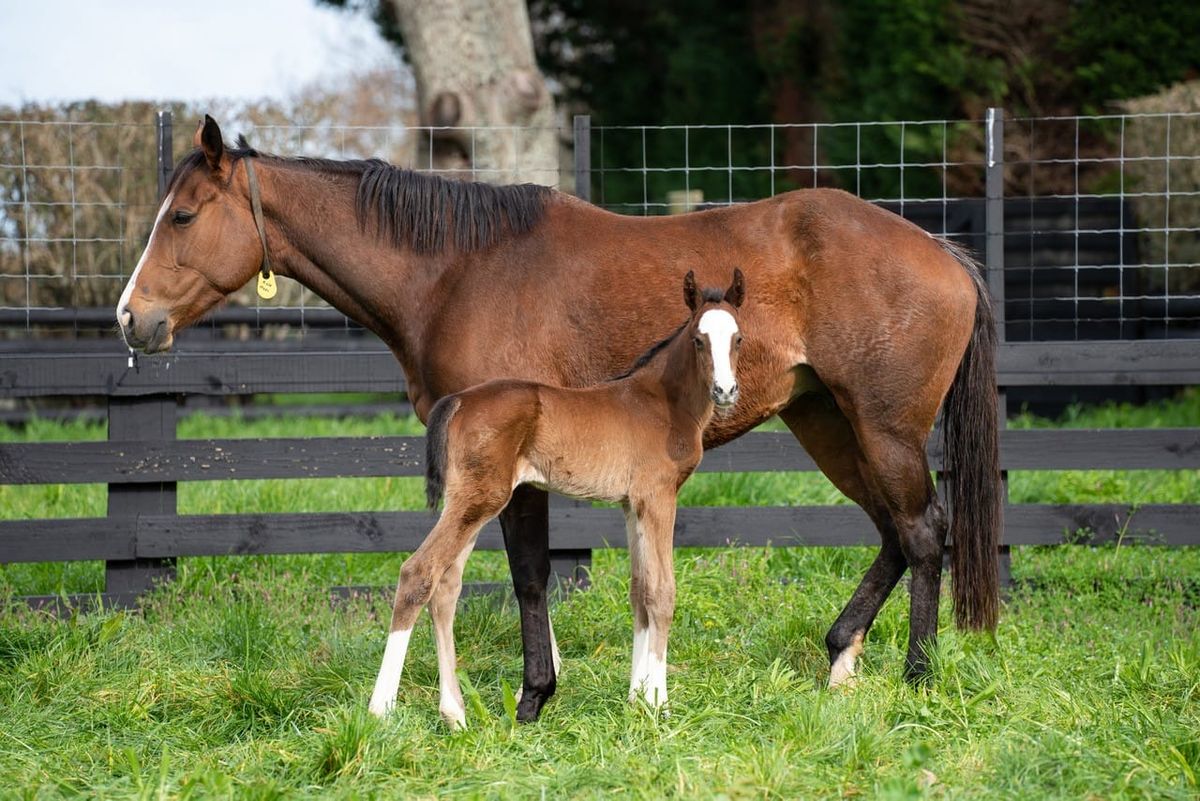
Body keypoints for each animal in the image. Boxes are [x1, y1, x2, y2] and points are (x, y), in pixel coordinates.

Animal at [368, 270, 745, 727]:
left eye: (738, 338)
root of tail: (458, 400)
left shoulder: (632, 504)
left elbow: (638, 591)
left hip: (469, 502)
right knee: (417, 573)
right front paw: (659, 703)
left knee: (446, 586)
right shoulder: (658, 497)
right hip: (480, 500)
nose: (725, 391)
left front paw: (636, 699)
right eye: (698, 340)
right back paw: (380, 709)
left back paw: (455, 713)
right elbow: (661, 592)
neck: (662, 403)